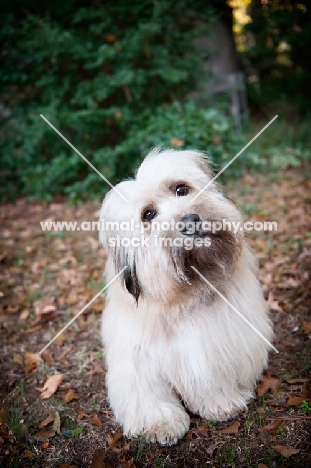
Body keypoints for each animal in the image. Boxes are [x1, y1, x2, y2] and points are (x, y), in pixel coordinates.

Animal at [100, 148, 272, 444]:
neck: (185, 297)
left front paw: (220, 402)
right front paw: (158, 422)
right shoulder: (137, 357)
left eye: (181, 189)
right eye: (148, 215)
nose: (189, 221)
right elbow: (147, 392)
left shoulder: (215, 344)